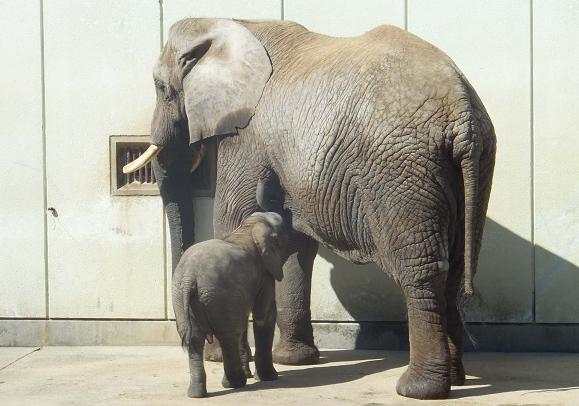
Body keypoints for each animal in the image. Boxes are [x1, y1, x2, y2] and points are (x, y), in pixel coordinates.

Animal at [173, 211, 288, 398]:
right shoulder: (264, 274)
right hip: (220, 295)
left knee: (195, 339)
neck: (249, 227)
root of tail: (190, 276)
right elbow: (264, 316)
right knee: (228, 335)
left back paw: (196, 394)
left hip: (182, 297)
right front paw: (270, 378)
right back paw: (235, 384)